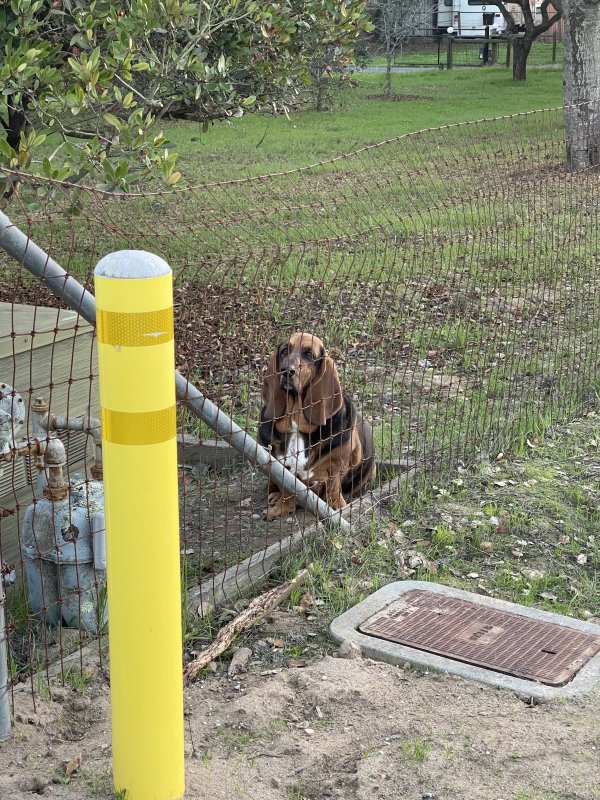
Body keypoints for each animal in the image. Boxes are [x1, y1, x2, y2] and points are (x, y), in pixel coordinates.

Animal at [258, 330, 376, 520]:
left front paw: (336, 507)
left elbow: (333, 486)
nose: (286, 371)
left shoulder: (336, 464)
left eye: (309, 355)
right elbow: (287, 489)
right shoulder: (281, 467)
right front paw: (281, 508)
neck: (296, 422)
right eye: (284, 351)